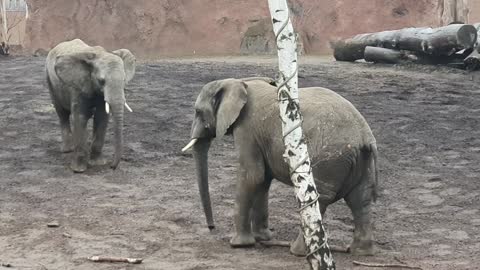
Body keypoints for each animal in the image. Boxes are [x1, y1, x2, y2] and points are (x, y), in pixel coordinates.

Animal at [45, 38, 135, 172]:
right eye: (101, 81)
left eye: (124, 80)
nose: (112, 167)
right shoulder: (78, 86)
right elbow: (80, 118)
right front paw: (78, 170)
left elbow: (101, 117)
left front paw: (98, 164)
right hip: (49, 80)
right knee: (62, 114)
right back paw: (67, 150)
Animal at [184, 77, 378, 256]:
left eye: (198, 111)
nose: (211, 227)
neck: (240, 82)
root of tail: (364, 136)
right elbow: (262, 181)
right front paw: (262, 238)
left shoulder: (247, 129)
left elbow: (252, 176)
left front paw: (238, 244)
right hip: (360, 161)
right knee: (360, 200)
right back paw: (360, 251)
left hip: (329, 158)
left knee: (318, 198)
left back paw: (298, 251)